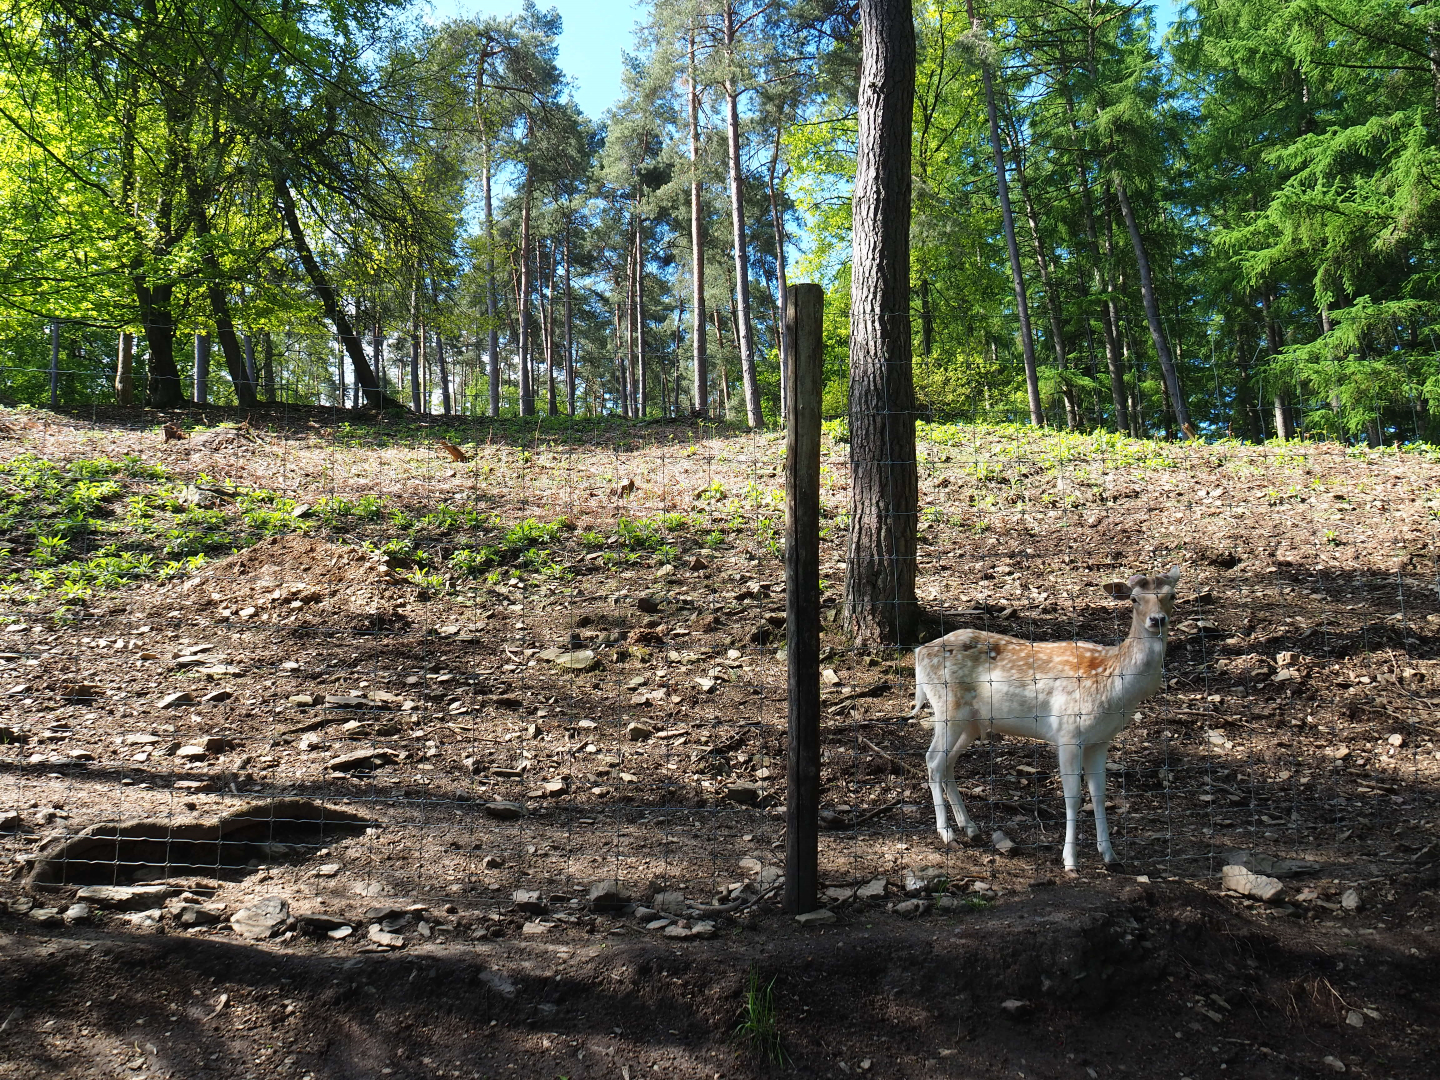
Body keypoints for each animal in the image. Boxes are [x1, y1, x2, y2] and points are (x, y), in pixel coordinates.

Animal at [911, 566, 1180, 872]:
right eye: (1134, 599)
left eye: (1172, 595)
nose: (1157, 620)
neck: (1114, 687)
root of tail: (919, 652)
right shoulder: (1068, 733)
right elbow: (1073, 797)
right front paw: (1070, 861)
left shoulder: (1100, 741)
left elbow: (1099, 794)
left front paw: (1110, 856)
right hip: (948, 708)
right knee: (933, 761)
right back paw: (947, 833)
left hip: (971, 722)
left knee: (948, 763)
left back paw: (970, 827)